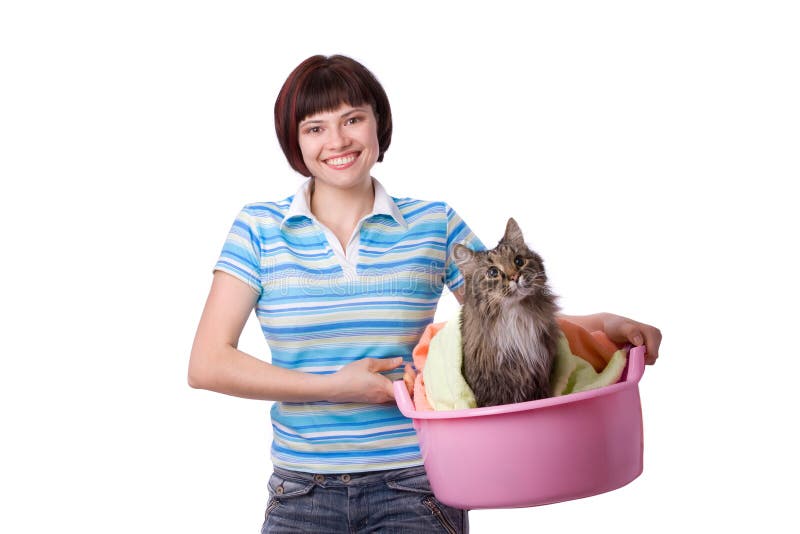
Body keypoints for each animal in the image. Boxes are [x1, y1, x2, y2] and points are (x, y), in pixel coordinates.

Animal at [454, 220, 560, 408]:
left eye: (519, 261)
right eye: (493, 272)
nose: (515, 276)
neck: (515, 315)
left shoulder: (539, 377)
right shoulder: (491, 387)